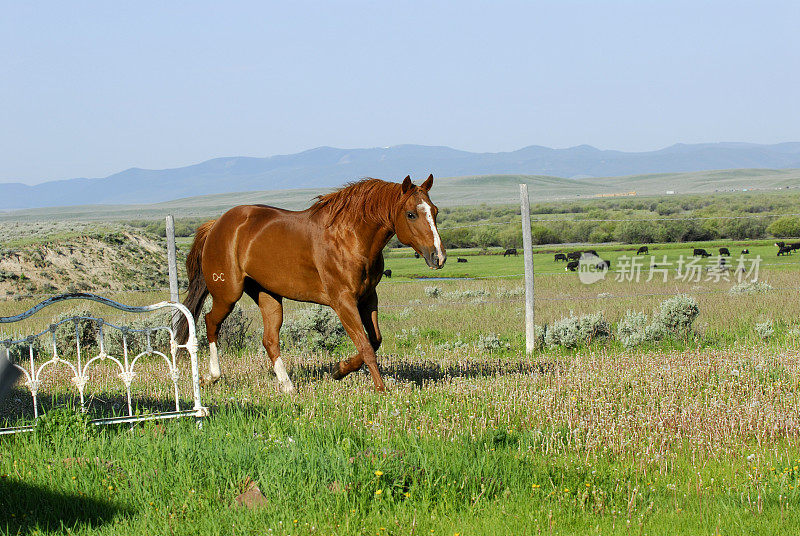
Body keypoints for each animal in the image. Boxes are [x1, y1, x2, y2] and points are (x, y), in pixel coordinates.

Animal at [176, 175, 446, 390]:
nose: (439, 256)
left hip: (267, 295)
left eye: (435, 211)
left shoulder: (369, 297)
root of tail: (216, 225)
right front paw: (380, 390)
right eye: (411, 214)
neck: (350, 238)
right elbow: (366, 345)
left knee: (270, 339)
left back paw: (287, 386)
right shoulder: (343, 301)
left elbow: (375, 340)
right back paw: (212, 376)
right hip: (227, 293)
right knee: (211, 322)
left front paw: (339, 369)